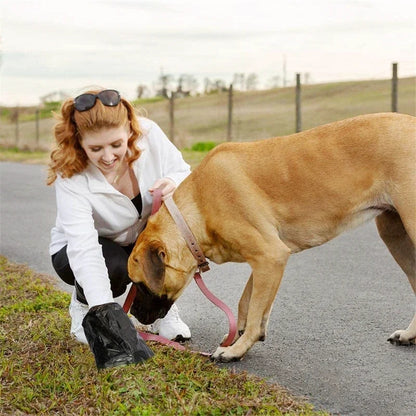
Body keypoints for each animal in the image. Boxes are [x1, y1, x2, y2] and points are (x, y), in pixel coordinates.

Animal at [128, 113, 414, 360]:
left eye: (141, 285)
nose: (132, 314)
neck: (194, 212)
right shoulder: (266, 261)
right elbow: (248, 301)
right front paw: (240, 335)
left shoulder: (270, 255)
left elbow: (255, 310)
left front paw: (236, 349)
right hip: (394, 235)